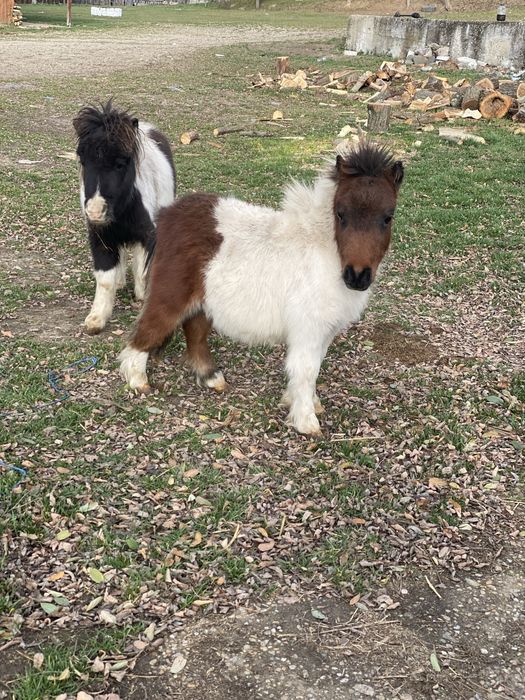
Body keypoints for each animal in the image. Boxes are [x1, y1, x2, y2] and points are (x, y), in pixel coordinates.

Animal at [73, 101, 177, 335]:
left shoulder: (148, 235)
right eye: (83, 161)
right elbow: (105, 279)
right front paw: (96, 320)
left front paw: (143, 299)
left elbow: (143, 272)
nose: (95, 211)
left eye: (121, 163)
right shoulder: (100, 238)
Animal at [119, 142, 404, 435]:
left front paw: (307, 403)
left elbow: (314, 368)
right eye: (340, 214)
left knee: (194, 331)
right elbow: (306, 369)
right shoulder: (308, 328)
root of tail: (167, 216)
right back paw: (138, 380)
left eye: (388, 217)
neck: (325, 251)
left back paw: (211, 378)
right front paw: (306, 421)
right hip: (170, 296)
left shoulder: (324, 331)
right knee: (147, 332)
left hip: (203, 300)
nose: (357, 276)